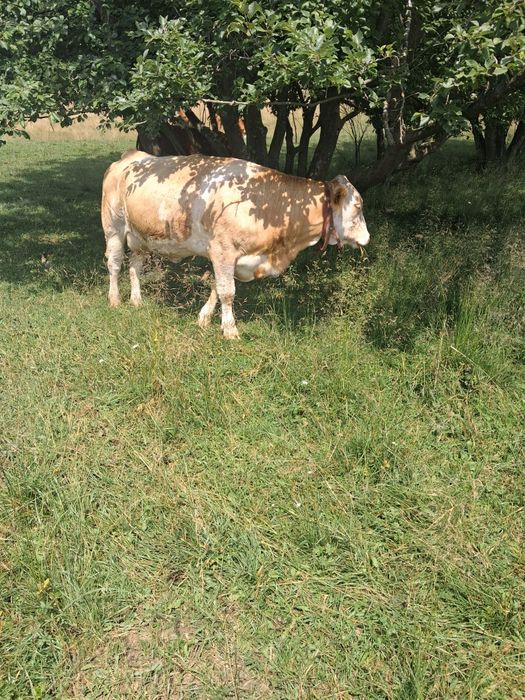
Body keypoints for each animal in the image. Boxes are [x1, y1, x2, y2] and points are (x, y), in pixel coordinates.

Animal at [101, 150, 370, 339]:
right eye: (358, 206)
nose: (367, 237)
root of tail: (131, 156)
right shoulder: (222, 250)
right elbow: (227, 292)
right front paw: (230, 329)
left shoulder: (232, 257)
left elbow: (216, 287)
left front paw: (204, 318)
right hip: (113, 228)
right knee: (115, 265)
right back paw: (114, 300)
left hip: (139, 237)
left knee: (135, 266)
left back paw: (136, 300)